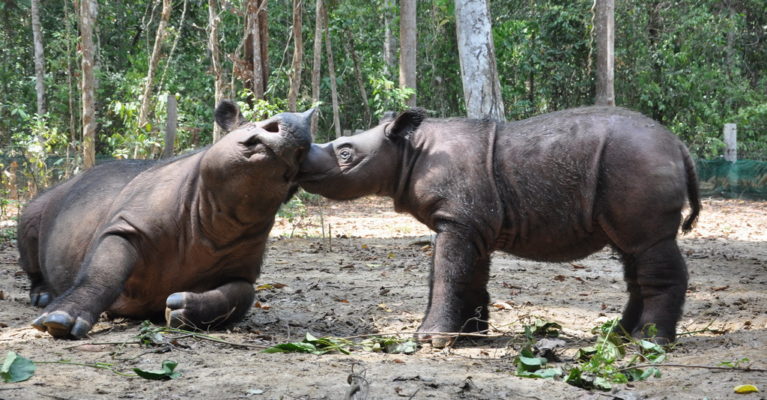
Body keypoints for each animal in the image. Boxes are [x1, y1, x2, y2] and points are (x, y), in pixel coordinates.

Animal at [18, 101, 314, 340]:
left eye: (302, 155)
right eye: (256, 124)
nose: (297, 128)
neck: (219, 213)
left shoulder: (242, 267)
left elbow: (241, 296)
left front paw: (181, 309)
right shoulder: (128, 226)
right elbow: (102, 273)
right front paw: (59, 322)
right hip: (52, 196)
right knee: (29, 218)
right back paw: (42, 297)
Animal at [298, 106, 704, 346]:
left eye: (346, 153)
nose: (300, 161)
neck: (408, 150)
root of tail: (680, 146)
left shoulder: (459, 220)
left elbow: (447, 273)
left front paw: (430, 340)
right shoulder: (469, 222)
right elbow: (466, 274)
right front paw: (470, 334)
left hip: (637, 160)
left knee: (648, 246)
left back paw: (649, 342)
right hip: (631, 166)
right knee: (631, 252)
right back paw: (620, 336)